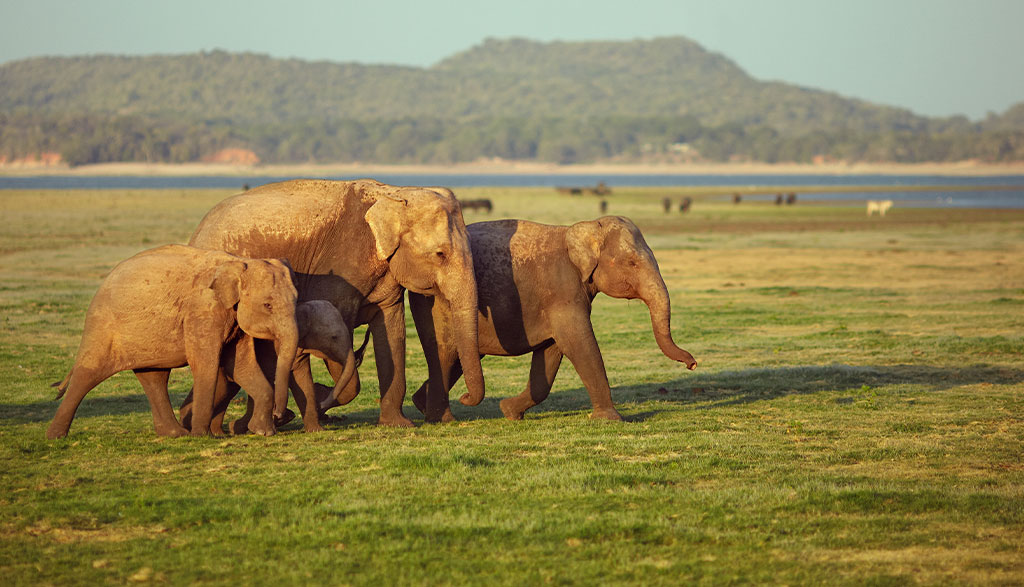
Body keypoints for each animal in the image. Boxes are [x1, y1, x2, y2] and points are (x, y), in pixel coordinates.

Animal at [46, 245, 299, 439]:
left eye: (297, 300)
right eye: (268, 305)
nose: (281, 415)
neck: (239, 263)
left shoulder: (233, 318)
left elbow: (241, 365)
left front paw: (263, 432)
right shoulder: (202, 311)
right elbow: (206, 365)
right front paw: (203, 436)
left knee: (154, 377)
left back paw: (174, 434)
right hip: (102, 325)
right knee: (87, 374)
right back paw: (55, 437)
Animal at [179, 300, 358, 434]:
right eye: (334, 337)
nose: (322, 405)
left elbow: (302, 379)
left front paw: (316, 430)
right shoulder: (272, 349)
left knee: (225, 390)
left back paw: (219, 431)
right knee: (224, 388)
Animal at [408, 216, 697, 423]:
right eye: (632, 263)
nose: (692, 364)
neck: (581, 228)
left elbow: (551, 353)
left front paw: (509, 411)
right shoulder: (563, 291)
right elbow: (579, 344)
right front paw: (611, 420)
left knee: (461, 359)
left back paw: (421, 404)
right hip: (432, 305)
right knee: (445, 355)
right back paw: (441, 417)